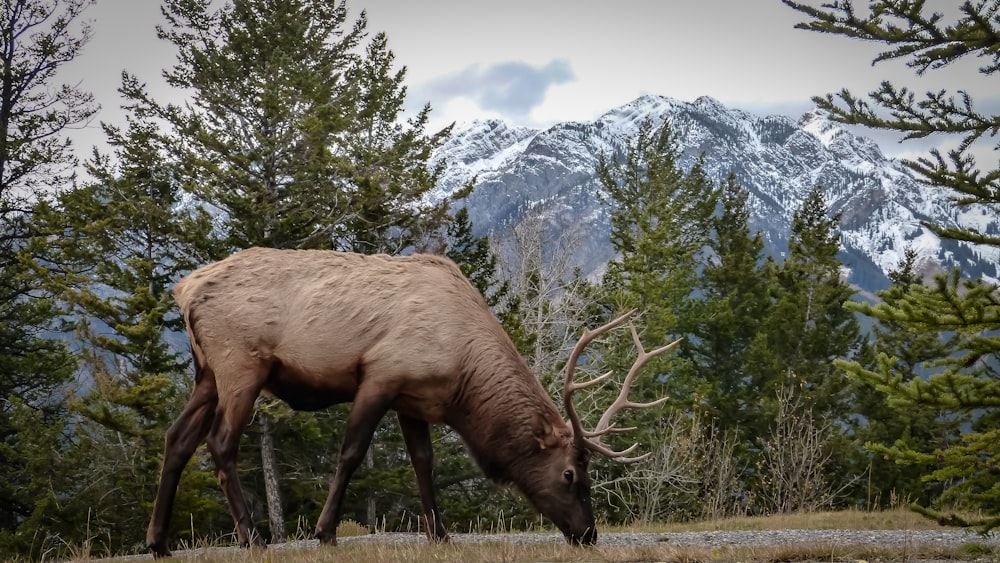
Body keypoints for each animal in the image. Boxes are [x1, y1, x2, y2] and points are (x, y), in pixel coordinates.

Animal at [146, 249, 680, 556]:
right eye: (570, 474)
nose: (589, 534)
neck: (463, 376)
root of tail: (184, 289)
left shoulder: (414, 398)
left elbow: (423, 462)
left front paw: (440, 534)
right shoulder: (381, 374)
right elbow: (351, 453)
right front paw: (325, 532)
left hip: (206, 372)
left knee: (176, 438)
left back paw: (158, 541)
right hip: (241, 363)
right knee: (219, 443)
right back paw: (252, 537)